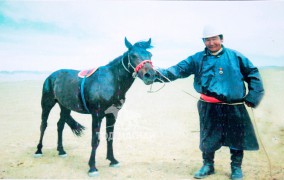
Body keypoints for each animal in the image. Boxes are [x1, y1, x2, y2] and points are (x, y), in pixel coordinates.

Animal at [34, 37, 156, 176]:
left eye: (150, 55)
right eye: (133, 55)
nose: (150, 75)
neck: (110, 81)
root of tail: (51, 76)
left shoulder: (112, 115)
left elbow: (110, 138)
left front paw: (112, 160)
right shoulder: (96, 115)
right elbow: (95, 140)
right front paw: (92, 167)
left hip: (65, 107)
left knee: (60, 125)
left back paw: (61, 150)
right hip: (47, 104)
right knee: (43, 125)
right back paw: (38, 150)